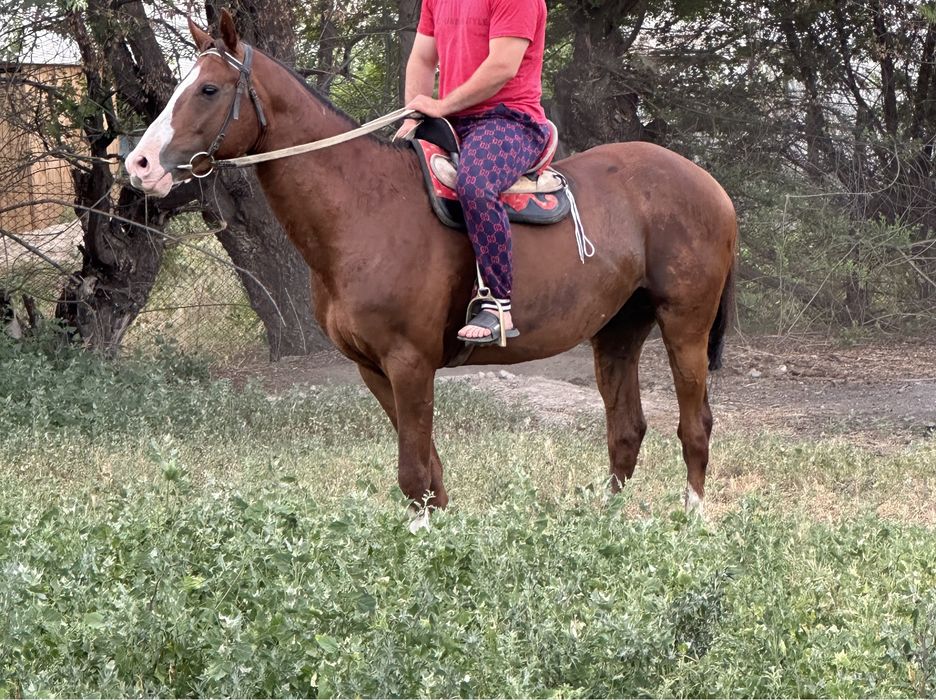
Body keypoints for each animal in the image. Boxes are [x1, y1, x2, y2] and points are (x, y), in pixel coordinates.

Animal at [126, 10, 738, 518]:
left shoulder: (410, 363)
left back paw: (691, 522)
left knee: (695, 426)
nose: (139, 164)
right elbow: (430, 477)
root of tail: (710, 185)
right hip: (617, 330)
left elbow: (414, 473)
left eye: (208, 88)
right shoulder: (373, 369)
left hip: (684, 324)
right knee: (626, 429)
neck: (364, 208)